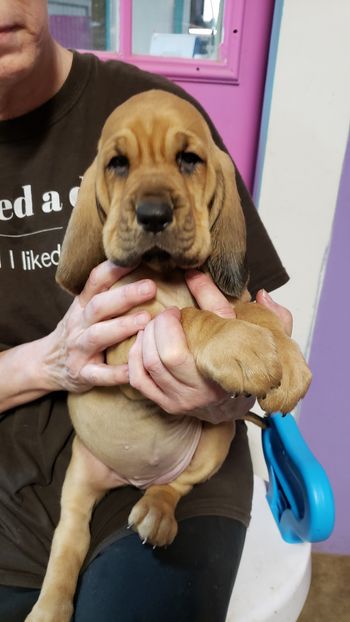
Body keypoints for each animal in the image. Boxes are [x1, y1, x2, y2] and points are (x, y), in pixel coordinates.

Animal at [27, 91, 312, 622]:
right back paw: (49, 606)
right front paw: (240, 346)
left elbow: (248, 310)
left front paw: (287, 360)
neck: (167, 274)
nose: (154, 214)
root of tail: (132, 479)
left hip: (217, 441)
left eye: (189, 160)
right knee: (68, 540)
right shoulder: (124, 332)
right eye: (118, 164)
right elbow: (184, 317)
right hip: (79, 478)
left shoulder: (228, 297)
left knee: (174, 488)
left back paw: (156, 513)